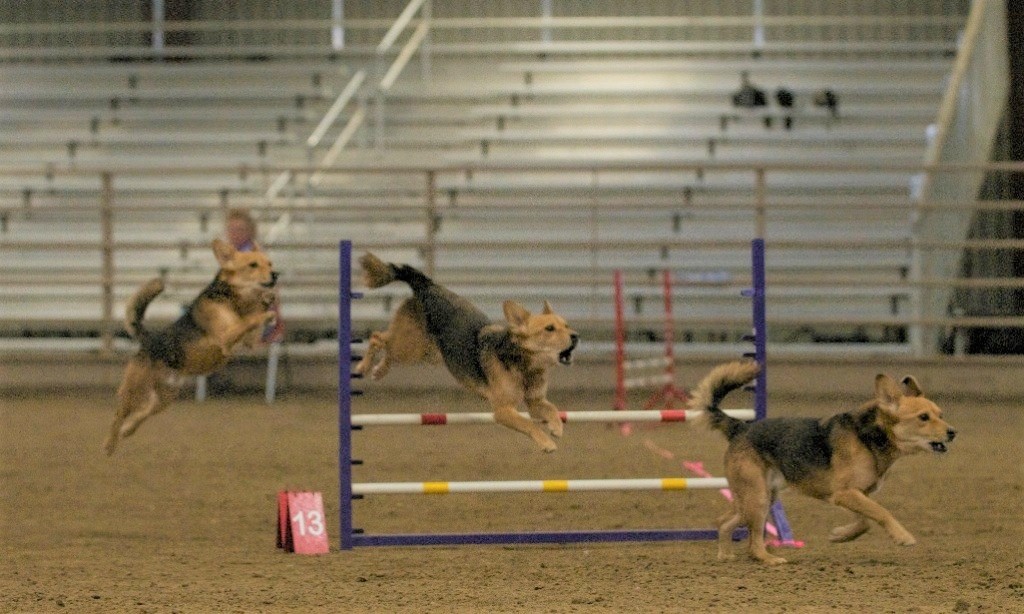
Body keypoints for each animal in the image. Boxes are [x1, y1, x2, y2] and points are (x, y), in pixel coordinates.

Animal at [102, 239, 276, 456]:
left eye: (270, 264)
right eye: (253, 265)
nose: (276, 274)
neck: (234, 299)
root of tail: (149, 339)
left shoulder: (249, 341)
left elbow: (254, 321)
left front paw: (267, 301)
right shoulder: (226, 337)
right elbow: (250, 320)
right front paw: (266, 312)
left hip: (166, 397)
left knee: (145, 411)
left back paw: (127, 430)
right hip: (135, 391)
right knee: (118, 414)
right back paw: (109, 444)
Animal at [354, 252, 577, 450]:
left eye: (566, 326)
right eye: (549, 329)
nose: (576, 336)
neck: (524, 364)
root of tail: (427, 285)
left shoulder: (535, 401)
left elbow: (552, 409)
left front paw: (556, 426)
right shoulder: (503, 410)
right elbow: (529, 424)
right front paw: (547, 442)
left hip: (427, 353)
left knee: (388, 348)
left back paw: (379, 370)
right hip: (411, 346)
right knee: (377, 338)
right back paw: (363, 366)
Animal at [692, 360, 954, 564]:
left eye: (940, 415)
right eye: (923, 417)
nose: (953, 432)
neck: (870, 437)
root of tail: (740, 427)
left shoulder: (855, 494)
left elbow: (865, 521)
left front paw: (841, 535)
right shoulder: (845, 493)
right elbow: (881, 512)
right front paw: (902, 536)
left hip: (758, 497)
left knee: (724, 522)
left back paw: (725, 555)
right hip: (757, 498)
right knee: (753, 542)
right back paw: (769, 558)